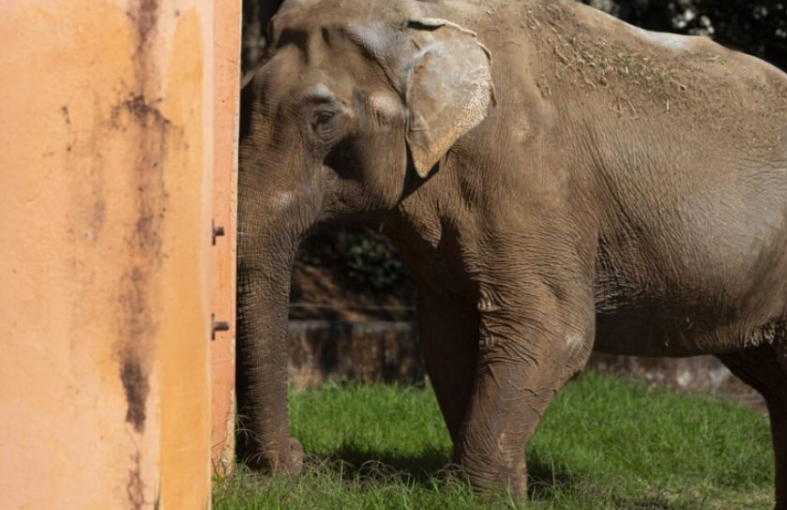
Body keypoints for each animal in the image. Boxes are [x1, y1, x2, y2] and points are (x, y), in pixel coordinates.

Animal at [236, 0, 787, 505]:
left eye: (323, 118)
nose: (297, 458)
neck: (426, 21)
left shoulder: (529, 181)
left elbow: (554, 327)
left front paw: (475, 495)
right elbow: (445, 329)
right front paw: (501, 490)